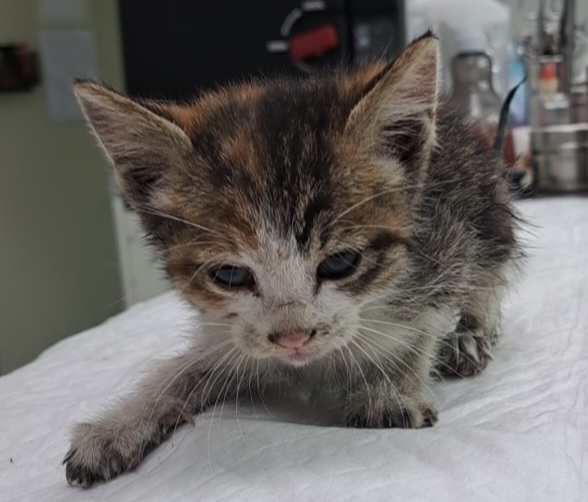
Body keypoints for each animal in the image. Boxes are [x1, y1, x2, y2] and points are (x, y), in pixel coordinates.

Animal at [63, 32, 520, 486]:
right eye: (230, 275)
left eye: (340, 262)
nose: (293, 339)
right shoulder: (232, 332)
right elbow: (192, 365)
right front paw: (118, 424)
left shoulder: (442, 243)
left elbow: (423, 322)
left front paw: (389, 386)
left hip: (485, 203)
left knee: (490, 272)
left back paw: (469, 334)